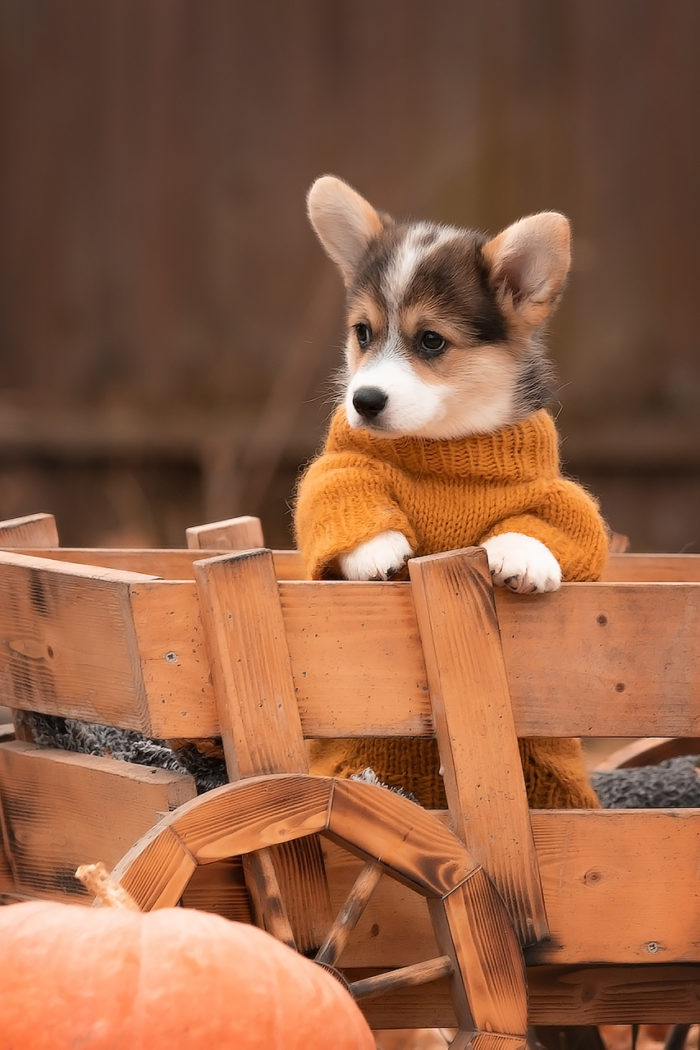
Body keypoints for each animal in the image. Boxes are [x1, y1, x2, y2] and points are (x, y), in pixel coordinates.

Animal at [295, 172, 608, 592]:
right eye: (362, 332)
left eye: (431, 339)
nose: (364, 401)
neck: (446, 445)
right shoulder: (337, 469)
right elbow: (337, 491)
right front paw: (374, 548)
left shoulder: (555, 496)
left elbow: (551, 522)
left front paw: (524, 554)